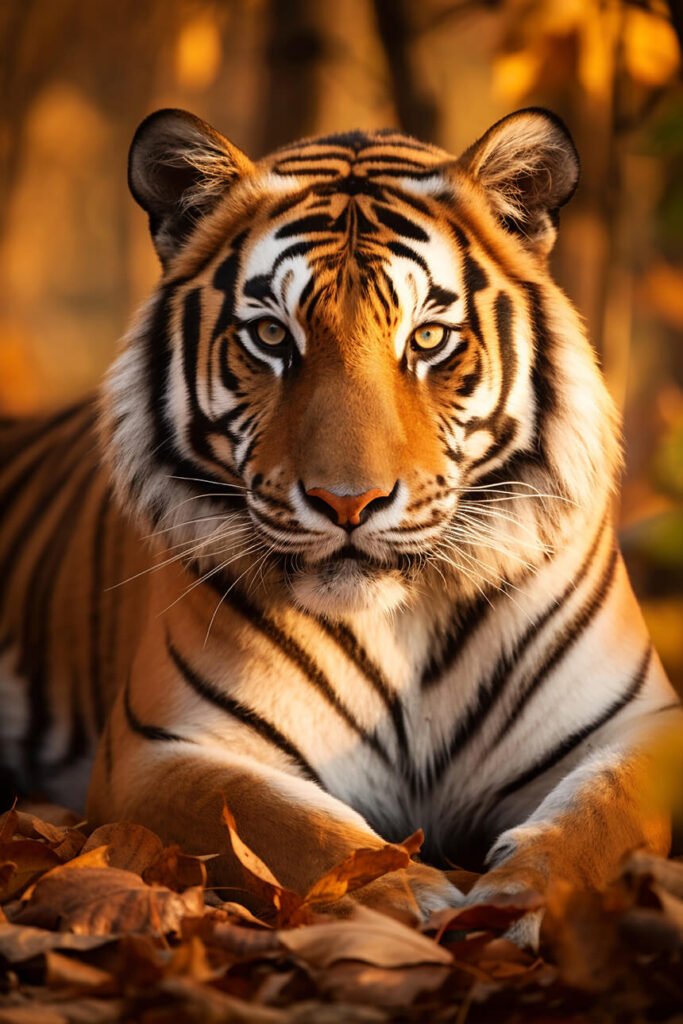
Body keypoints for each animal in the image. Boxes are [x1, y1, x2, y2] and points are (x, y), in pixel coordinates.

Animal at [1, 106, 680, 942]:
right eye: (271, 338)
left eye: (427, 339)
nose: (347, 503)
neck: (402, 622)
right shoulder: (158, 750)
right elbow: (293, 827)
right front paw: (412, 898)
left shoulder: (641, 728)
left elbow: (598, 818)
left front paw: (517, 900)